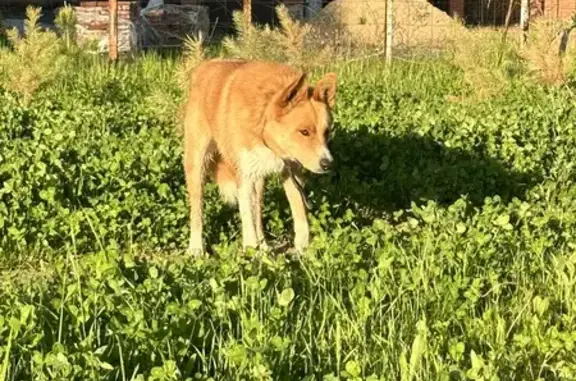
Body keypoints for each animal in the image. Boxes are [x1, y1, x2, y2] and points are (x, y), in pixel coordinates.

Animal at [182, 59, 338, 254]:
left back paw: (263, 246)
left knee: (258, 213)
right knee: (197, 210)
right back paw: (196, 249)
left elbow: (299, 215)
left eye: (327, 132)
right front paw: (250, 253)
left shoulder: (293, 173)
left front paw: (303, 251)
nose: (328, 164)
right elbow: (247, 221)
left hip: (259, 179)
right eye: (304, 132)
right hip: (197, 164)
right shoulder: (245, 178)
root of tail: (205, 65)